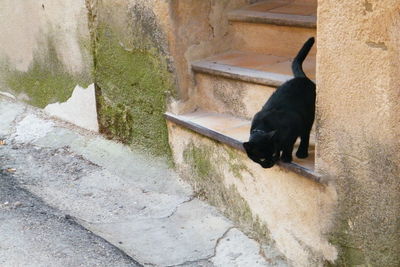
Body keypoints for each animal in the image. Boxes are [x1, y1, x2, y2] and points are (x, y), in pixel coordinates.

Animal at [244, 37, 316, 169]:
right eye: (261, 159)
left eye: (272, 154)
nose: (268, 165)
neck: (264, 127)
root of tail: (302, 78)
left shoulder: (294, 122)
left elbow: (289, 144)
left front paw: (286, 157)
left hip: (308, 117)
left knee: (305, 135)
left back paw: (301, 153)